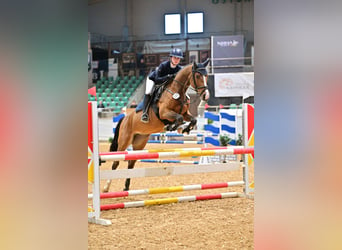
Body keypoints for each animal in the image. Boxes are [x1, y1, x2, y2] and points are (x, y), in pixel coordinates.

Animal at [101, 58, 210, 191]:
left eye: (206, 75)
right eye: (198, 75)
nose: (206, 95)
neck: (177, 91)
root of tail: (125, 117)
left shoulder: (185, 113)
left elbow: (192, 119)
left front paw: (185, 129)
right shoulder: (164, 113)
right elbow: (178, 118)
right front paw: (171, 126)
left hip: (140, 141)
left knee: (131, 162)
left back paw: (126, 187)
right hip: (124, 140)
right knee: (116, 162)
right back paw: (106, 187)